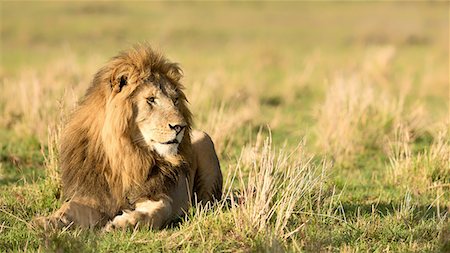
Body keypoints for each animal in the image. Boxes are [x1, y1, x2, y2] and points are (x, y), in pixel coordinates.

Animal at [34, 44, 223, 230]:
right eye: (151, 99)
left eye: (175, 100)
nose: (180, 127)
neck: (126, 154)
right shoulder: (93, 197)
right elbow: (68, 208)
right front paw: (46, 221)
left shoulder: (156, 194)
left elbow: (158, 211)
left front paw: (123, 223)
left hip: (205, 139)